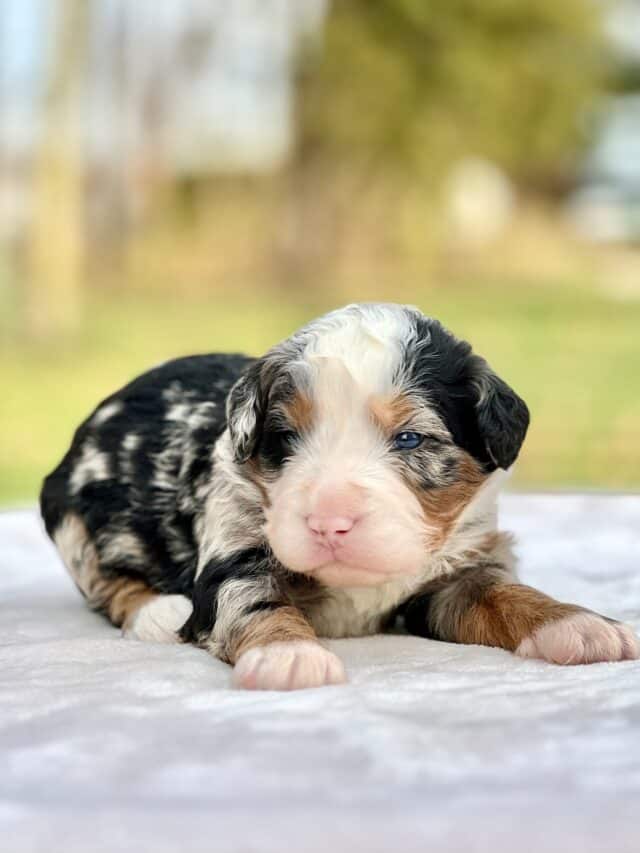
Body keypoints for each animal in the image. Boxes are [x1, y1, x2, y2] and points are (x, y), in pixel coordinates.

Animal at [41, 302, 640, 688]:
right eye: (286, 437)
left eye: (410, 438)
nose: (330, 521)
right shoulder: (233, 549)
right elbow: (254, 601)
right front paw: (289, 656)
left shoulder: (458, 569)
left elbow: (505, 593)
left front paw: (581, 625)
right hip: (72, 521)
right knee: (106, 581)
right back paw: (158, 611)